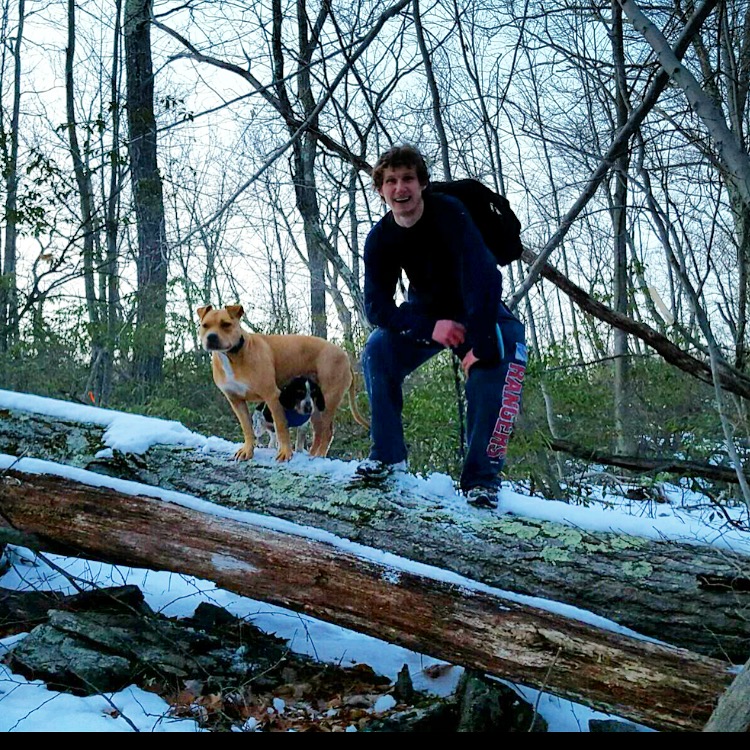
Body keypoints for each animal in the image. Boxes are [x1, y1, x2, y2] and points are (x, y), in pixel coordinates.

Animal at [200, 304, 370, 458]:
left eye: (226, 324)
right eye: (204, 325)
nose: (211, 337)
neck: (233, 356)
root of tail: (346, 358)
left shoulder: (272, 396)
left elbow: (281, 428)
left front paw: (285, 453)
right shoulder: (236, 401)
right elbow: (247, 428)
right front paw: (247, 451)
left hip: (326, 402)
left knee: (326, 432)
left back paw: (319, 456)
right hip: (314, 407)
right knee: (319, 433)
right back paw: (312, 456)